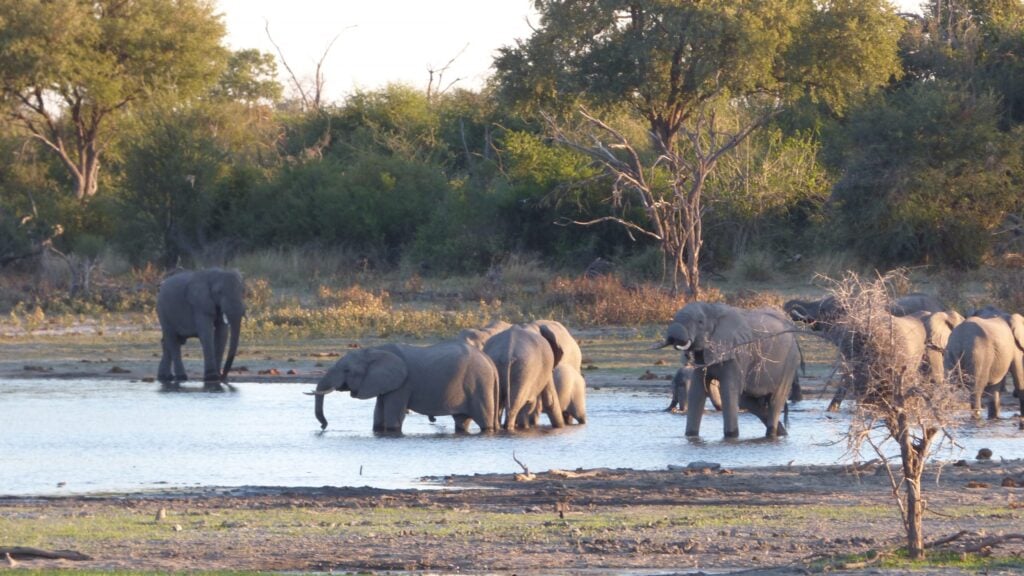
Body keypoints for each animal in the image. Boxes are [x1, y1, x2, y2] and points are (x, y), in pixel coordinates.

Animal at [311, 339, 500, 433]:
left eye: (347, 370)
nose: (323, 426)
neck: (374, 351)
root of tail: (491, 363)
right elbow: (378, 414)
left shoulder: (403, 385)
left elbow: (393, 418)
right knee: (461, 420)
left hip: (480, 385)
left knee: (484, 420)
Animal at [659, 303, 800, 438]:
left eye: (700, 322)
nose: (674, 340)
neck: (713, 310)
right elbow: (697, 391)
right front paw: (691, 436)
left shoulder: (737, 354)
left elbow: (728, 391)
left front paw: (731, 437)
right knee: (746, 400)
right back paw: (782, 433)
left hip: (789, 361)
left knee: (775, 401)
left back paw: (773, 433)